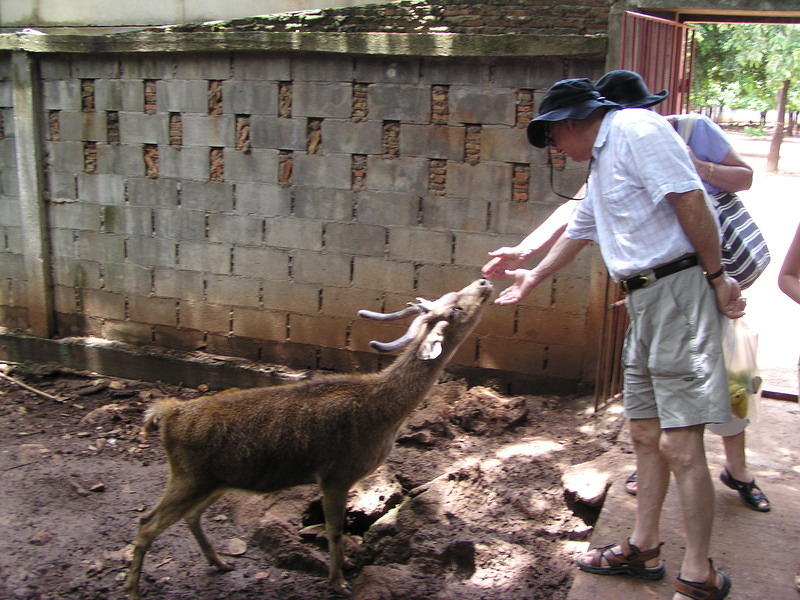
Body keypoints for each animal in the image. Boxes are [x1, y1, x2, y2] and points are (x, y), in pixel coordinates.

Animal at [125, 278, 490, 596]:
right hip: (189, 476)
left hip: (214, 479)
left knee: (190, 515)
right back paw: (133, 590)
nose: (484, 281)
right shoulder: (335, 474)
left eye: (452, 295)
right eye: (455, 307)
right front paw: (338, 582)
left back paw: (220, 563)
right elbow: (334, 531)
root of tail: (167, 415)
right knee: (146, 522)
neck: (383, 413)